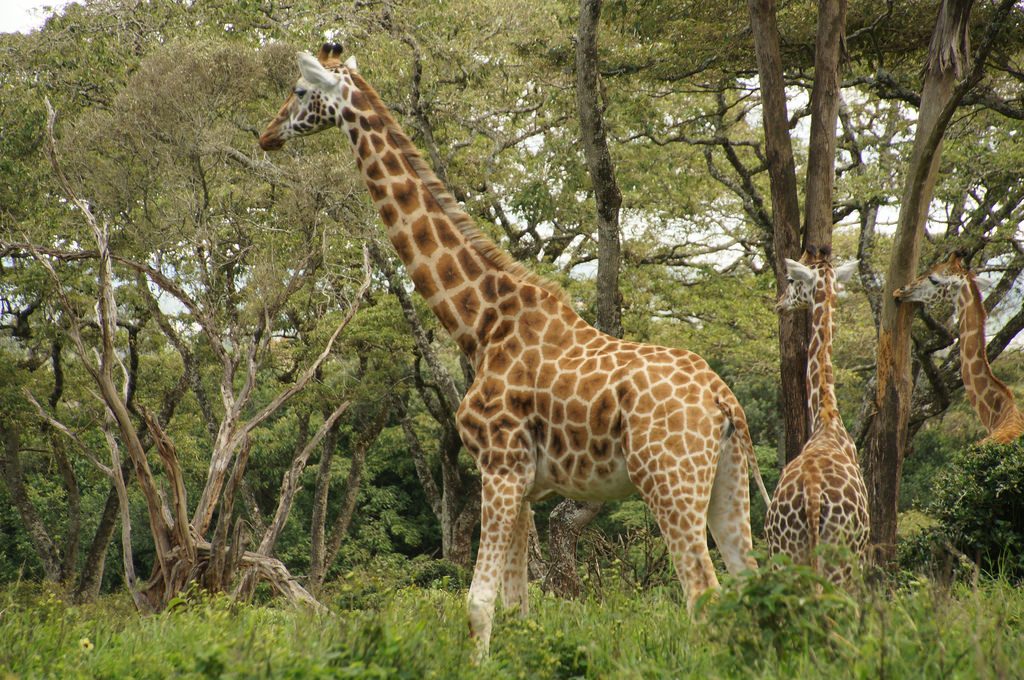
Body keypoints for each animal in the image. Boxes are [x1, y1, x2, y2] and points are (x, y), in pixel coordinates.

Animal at [259, 43, 770, 657]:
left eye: (300, 90)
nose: (266, 135)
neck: (478, 323)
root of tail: (723, 400)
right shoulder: (526, 485)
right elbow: (519, 607)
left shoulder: (498, 466)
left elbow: (478, 604)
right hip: (725, 483)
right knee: (750, 585)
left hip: (668, 480)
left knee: (703, 595)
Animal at [765, 248, 869, 583]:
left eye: (790, 279)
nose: (779, 302)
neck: (827, 416)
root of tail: (811, 492)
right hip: (840, 556)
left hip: (785, 552)